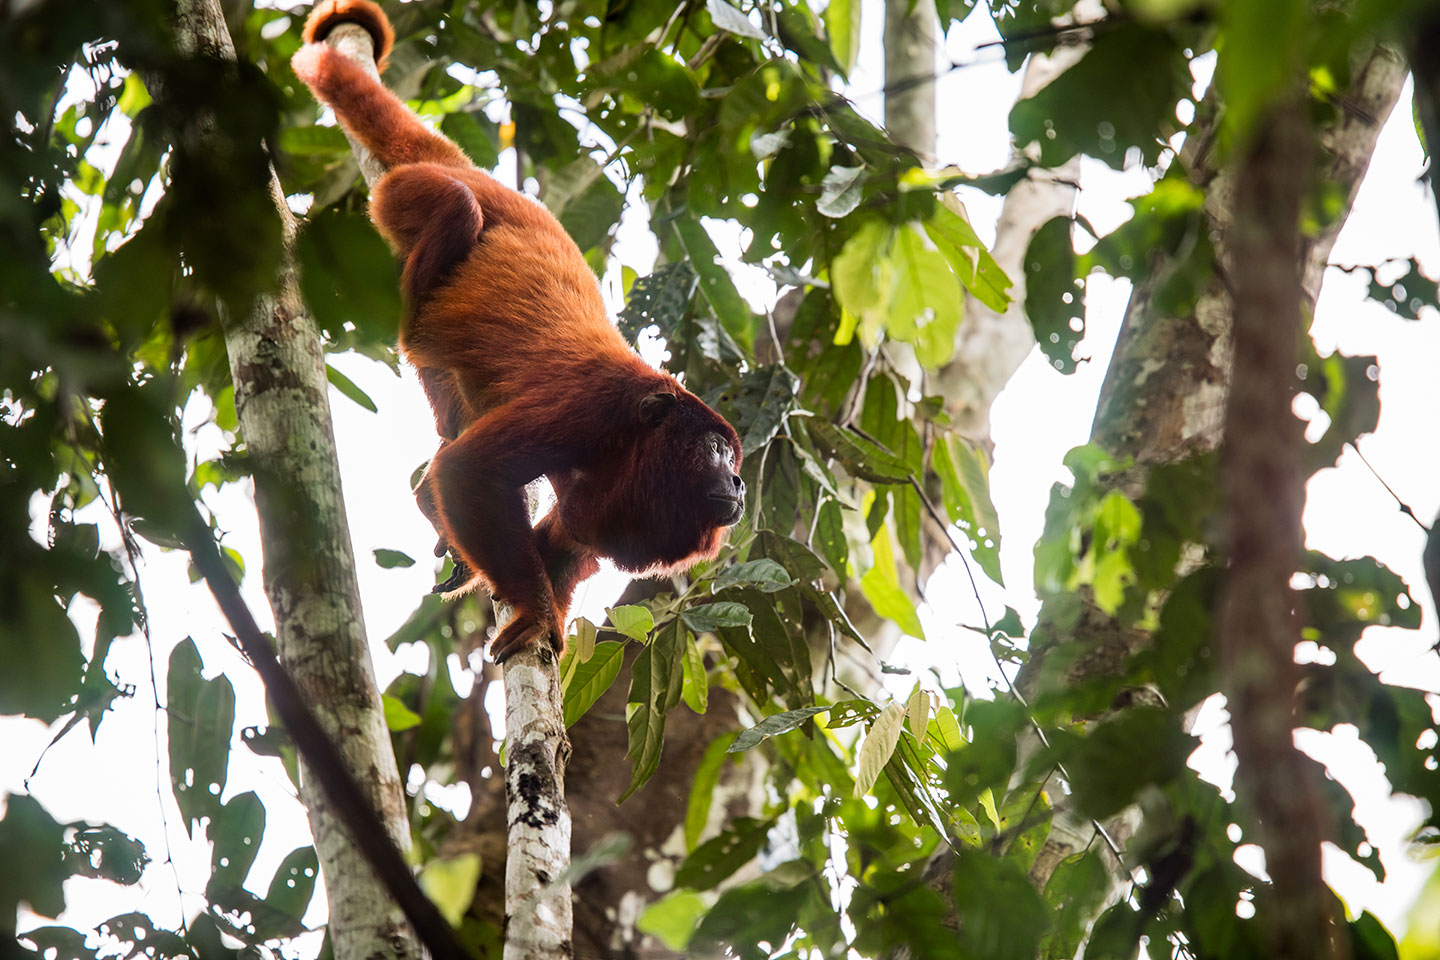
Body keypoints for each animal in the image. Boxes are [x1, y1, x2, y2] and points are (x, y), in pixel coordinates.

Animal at [291, 0, 745, 662]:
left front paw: (545, 605)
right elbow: (471, 473)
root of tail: (483, 175)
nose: (738, 481)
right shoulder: (590, 406)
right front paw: (532, 611)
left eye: (733, 460)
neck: (638, 431)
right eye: (715, 451)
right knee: (455, 210)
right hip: (403, 194)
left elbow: (564, 539)